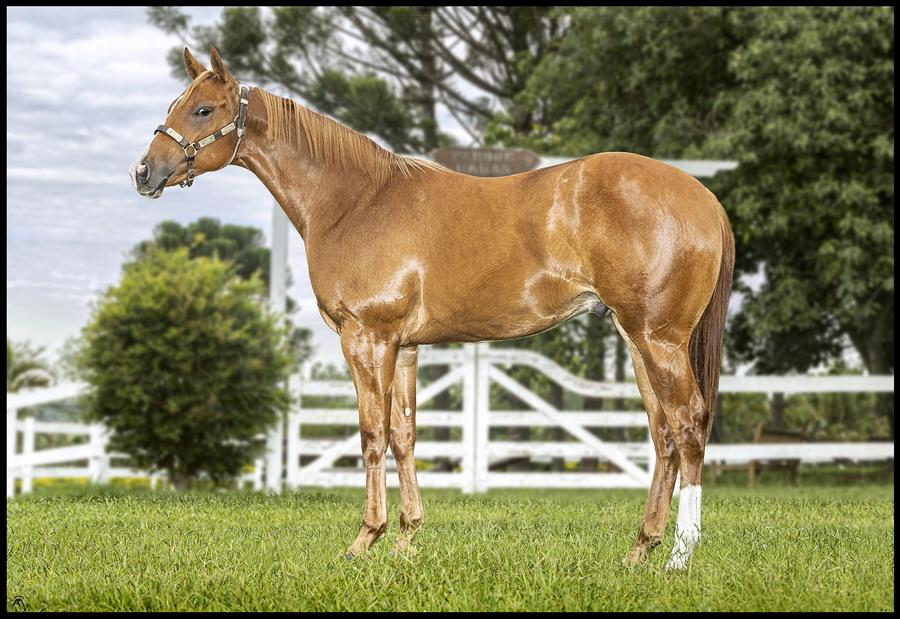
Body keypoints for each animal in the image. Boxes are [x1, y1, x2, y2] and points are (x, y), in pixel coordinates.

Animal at [132, 48, 732, 572]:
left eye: (203, 109)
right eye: (175, 105)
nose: (144, 172)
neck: (356, 201)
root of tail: (703, 196)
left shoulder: (366, 338)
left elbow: (371, 434)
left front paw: (365, 540)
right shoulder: (404, 347)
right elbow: (404, 434)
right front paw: (405, 540)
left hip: (658, 339)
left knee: (687, 425)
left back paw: (681, 555)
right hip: (638, 340)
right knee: (663, 435)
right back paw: (641, 550)